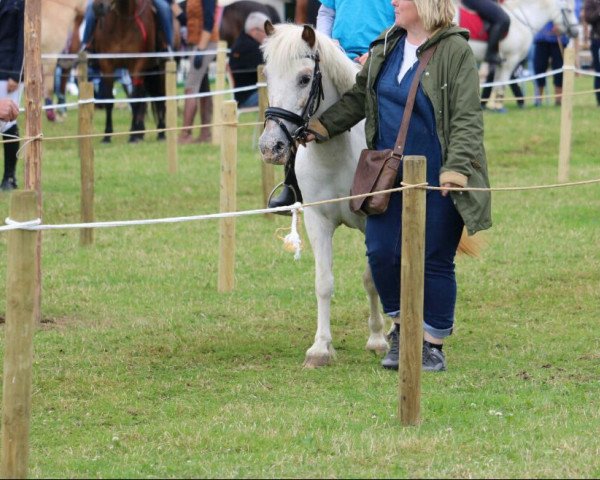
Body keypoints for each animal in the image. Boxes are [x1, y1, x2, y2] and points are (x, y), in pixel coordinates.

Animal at [88, 0, 166, 142]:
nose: (98, 7)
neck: (123, 23)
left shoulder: (137, 65)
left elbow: (135, 100)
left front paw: (133, 136)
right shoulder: (107, 65)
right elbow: (109, 100)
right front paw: (107, 135)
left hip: (160, 69)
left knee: (160, 98)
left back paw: (161, 133)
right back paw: (141, 131)